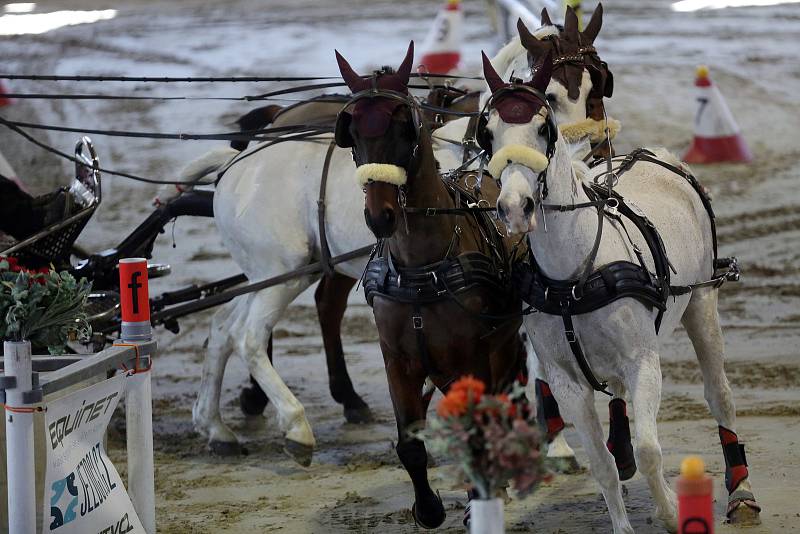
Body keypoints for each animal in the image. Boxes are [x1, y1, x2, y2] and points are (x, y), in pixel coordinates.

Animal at [332, 43, 524, 532]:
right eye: (352, 134)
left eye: (405, 127)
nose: (379, 216)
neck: (421, 266)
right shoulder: (397, 361)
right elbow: (411, 444)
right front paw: (429, 508)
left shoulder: (473, 358)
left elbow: (477, 430)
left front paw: (478, 501)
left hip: (503, 344)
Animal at [484, 44, 760, 532]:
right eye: (488, 133)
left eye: (543, 127)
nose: (516, 207)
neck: (572, 280)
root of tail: (655, 155)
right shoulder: (566, 384)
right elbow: (601, 464)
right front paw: (622, 520)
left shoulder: (642, 362)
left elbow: (650, 450)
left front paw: (669, 511)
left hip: (702, 301)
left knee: (719, 396)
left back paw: (740, 489)